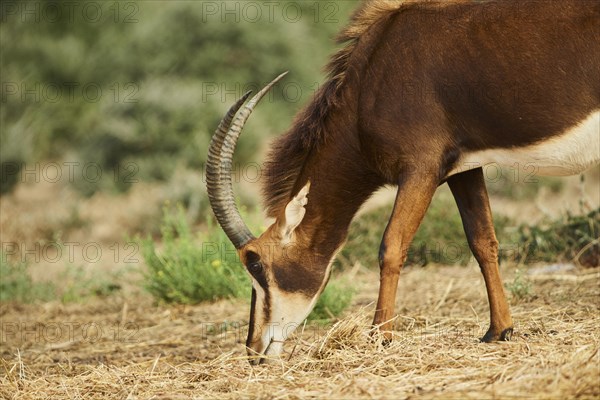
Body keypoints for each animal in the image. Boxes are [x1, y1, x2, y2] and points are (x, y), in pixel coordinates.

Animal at [206, 0, 600, 364]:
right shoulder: (463, 169)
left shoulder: (420, 170)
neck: (371, 72)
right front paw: (499, 330)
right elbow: (482, 241)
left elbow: (391, 246)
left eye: (256, 263)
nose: (254, 350)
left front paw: (380, 337)